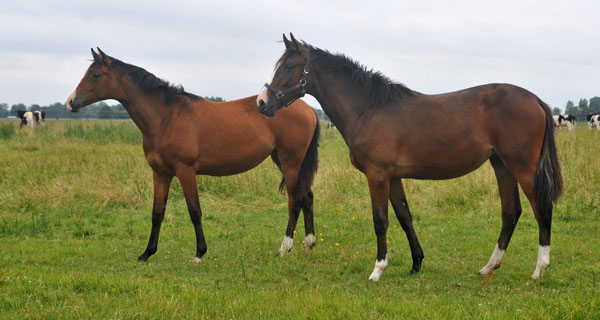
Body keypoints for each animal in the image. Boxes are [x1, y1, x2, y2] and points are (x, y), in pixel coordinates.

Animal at [66, 47, 322, 262]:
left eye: (96, 75)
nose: (71, 102)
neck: (166, 117)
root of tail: (308, 109)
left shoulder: (185, 171)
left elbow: (194, 211)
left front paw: (199, 253)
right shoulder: (160, 173)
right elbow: (157, 212)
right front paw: (147, 253)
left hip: (291, 162)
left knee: (295, 200)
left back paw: (285, 248)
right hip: (283, 160)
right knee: (307, 196)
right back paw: (309, 244)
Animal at [258, 33, 564, 282]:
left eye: (288, 66)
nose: (263, 103)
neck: (369, 108)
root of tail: (535, 100)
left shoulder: (378, 176)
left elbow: (380, 220)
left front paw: (378, 269)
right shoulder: (393, 178)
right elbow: (405, 217)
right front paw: (416, 263)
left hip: (522, 167)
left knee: (542, 210)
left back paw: (540, 269)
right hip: (502, 165)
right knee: (511, 212)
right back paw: (489, 266)